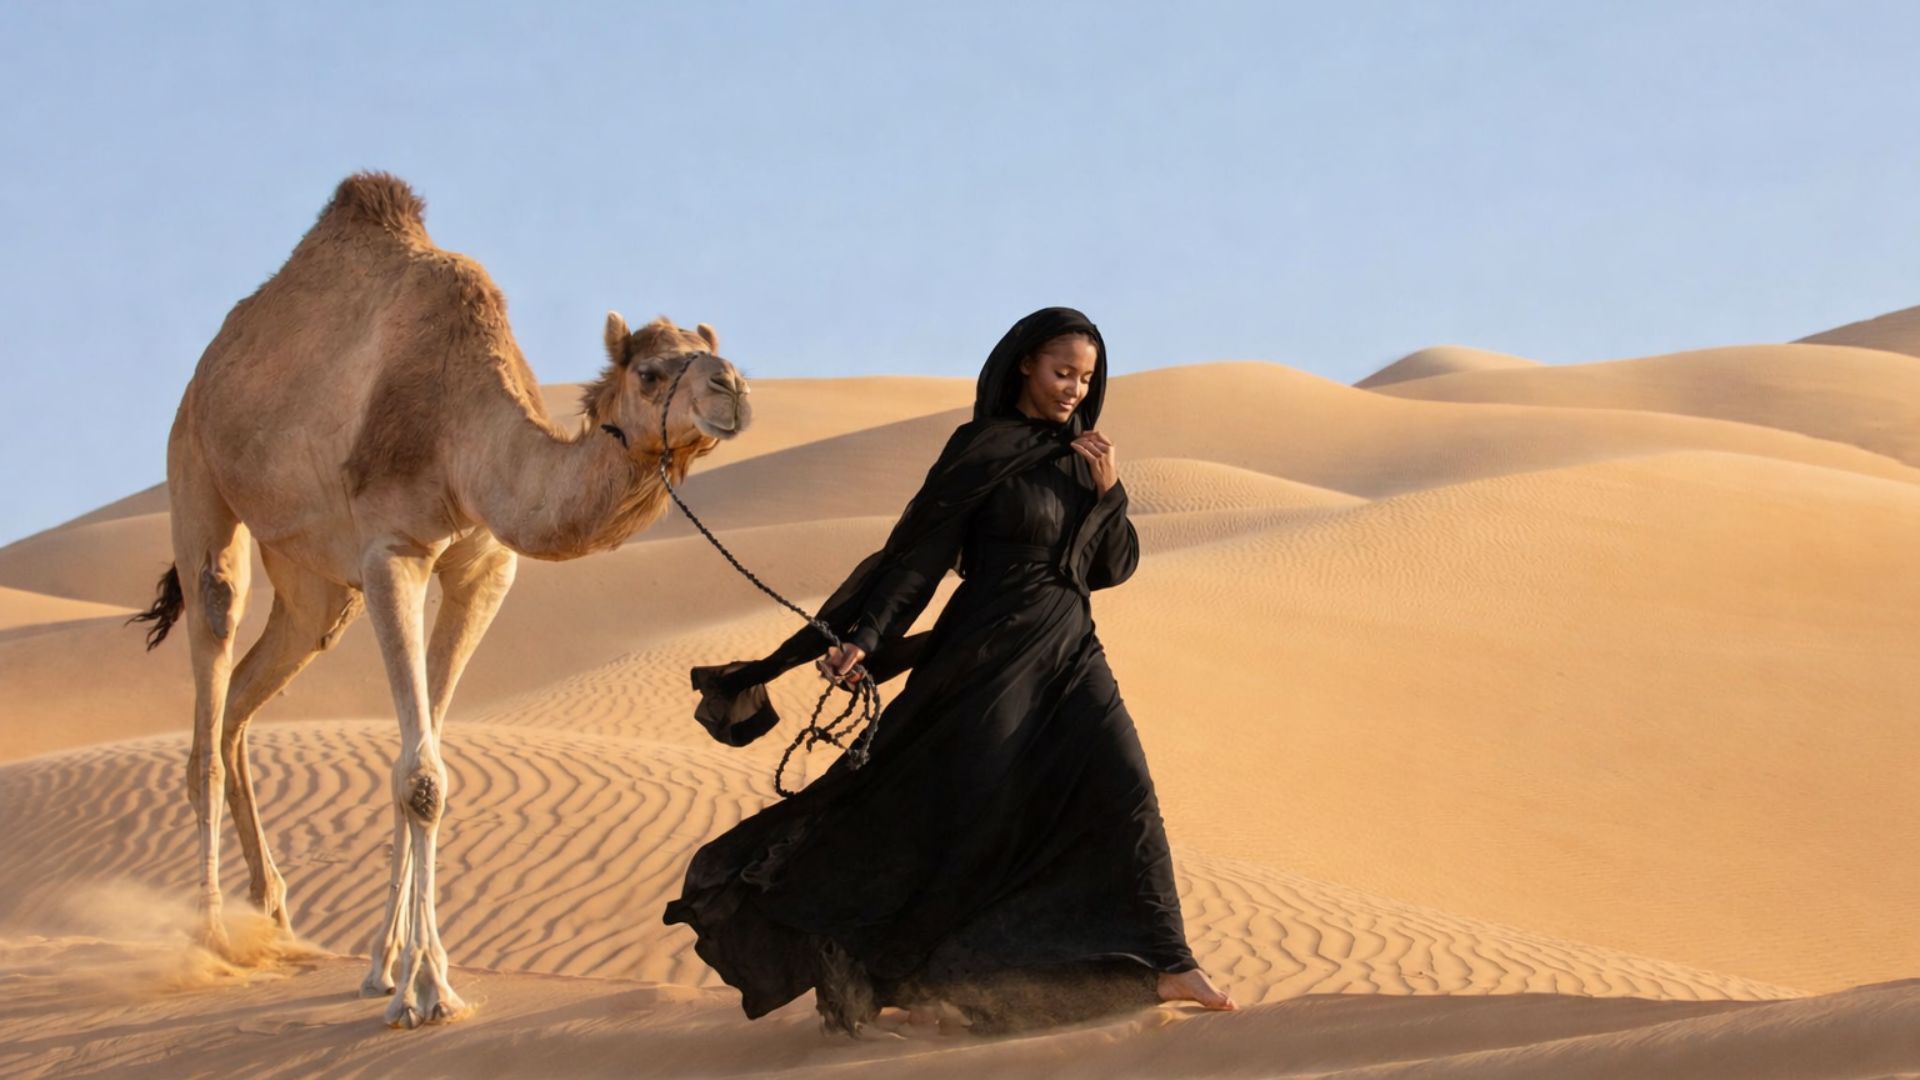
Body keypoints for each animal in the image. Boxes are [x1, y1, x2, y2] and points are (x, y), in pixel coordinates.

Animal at [129, 171, 752, 1027]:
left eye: (714, 353)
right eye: (653, 372)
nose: (734, 389)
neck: (466, 438)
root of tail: (207, 367)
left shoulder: (483, 568)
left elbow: (423, 758)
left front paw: (386, 967)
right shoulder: (393, 552)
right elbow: (420, 778)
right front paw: (427, 989)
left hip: (315, 589)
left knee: (240, 709)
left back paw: (275, 915)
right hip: (195, 471)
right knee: (211, 657)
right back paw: (214, 935)